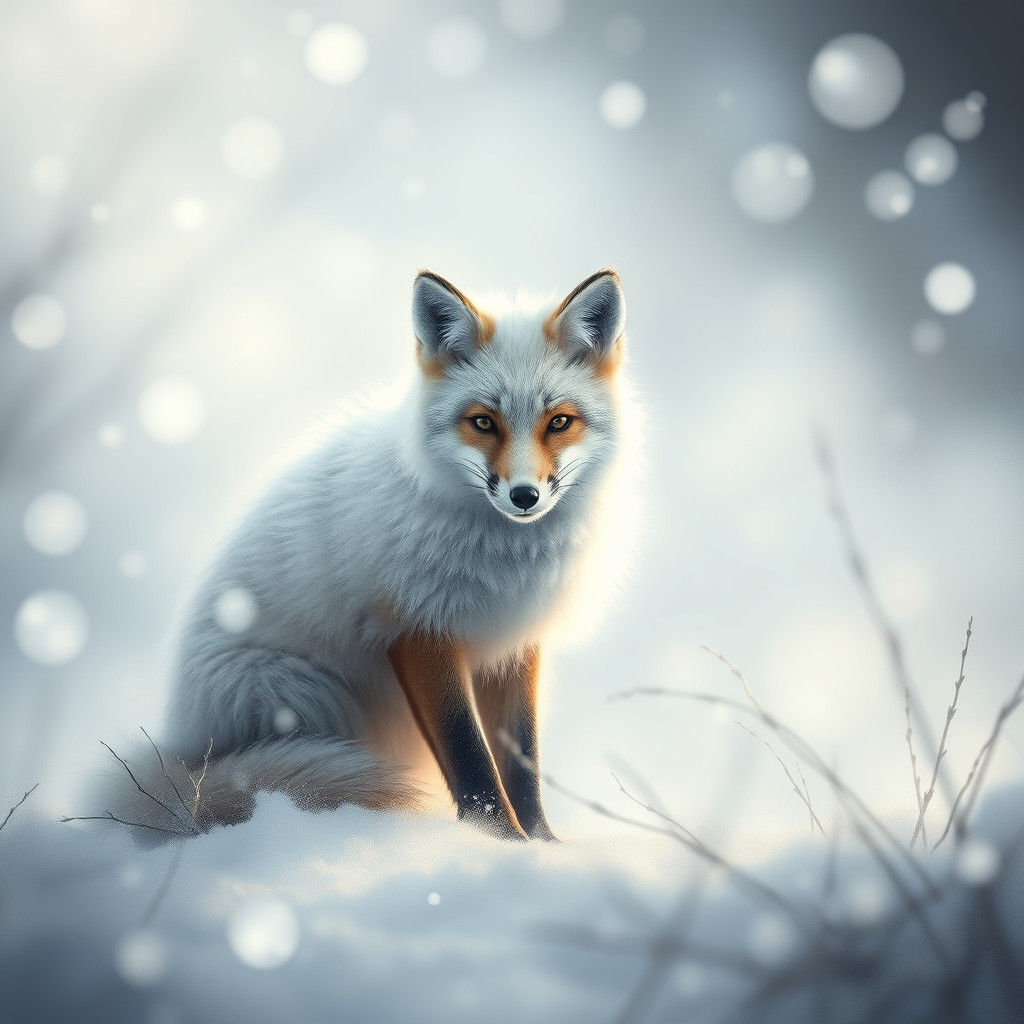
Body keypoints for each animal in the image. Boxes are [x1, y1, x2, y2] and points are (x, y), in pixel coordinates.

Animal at [109, 268, 638, 842]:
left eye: (559, 422)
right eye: (483, 423)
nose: (524, 496)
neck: (504, 560)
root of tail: (182, 755)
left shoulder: (514, 640)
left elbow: (522, 760)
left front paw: (541, 844)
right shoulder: (416, 627)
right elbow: (469, 754)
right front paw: (497, 839)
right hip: (299, 692)